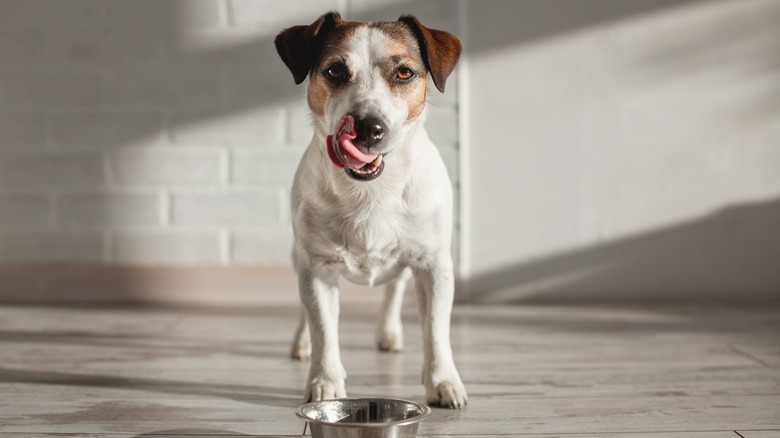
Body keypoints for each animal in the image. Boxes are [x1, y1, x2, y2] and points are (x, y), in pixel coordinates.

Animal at [276, 12, 466, 408]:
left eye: (405, 72)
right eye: (334, 70)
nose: (367, 127)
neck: (371, 191)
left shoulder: (435, 265)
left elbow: (435, 329)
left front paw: (443, 381)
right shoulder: (317, 268)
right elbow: (323, 330)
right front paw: (325, 383)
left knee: (395, 288)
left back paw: (389, 333)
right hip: (297, 255)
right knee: (305, 311)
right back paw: (301, 342)